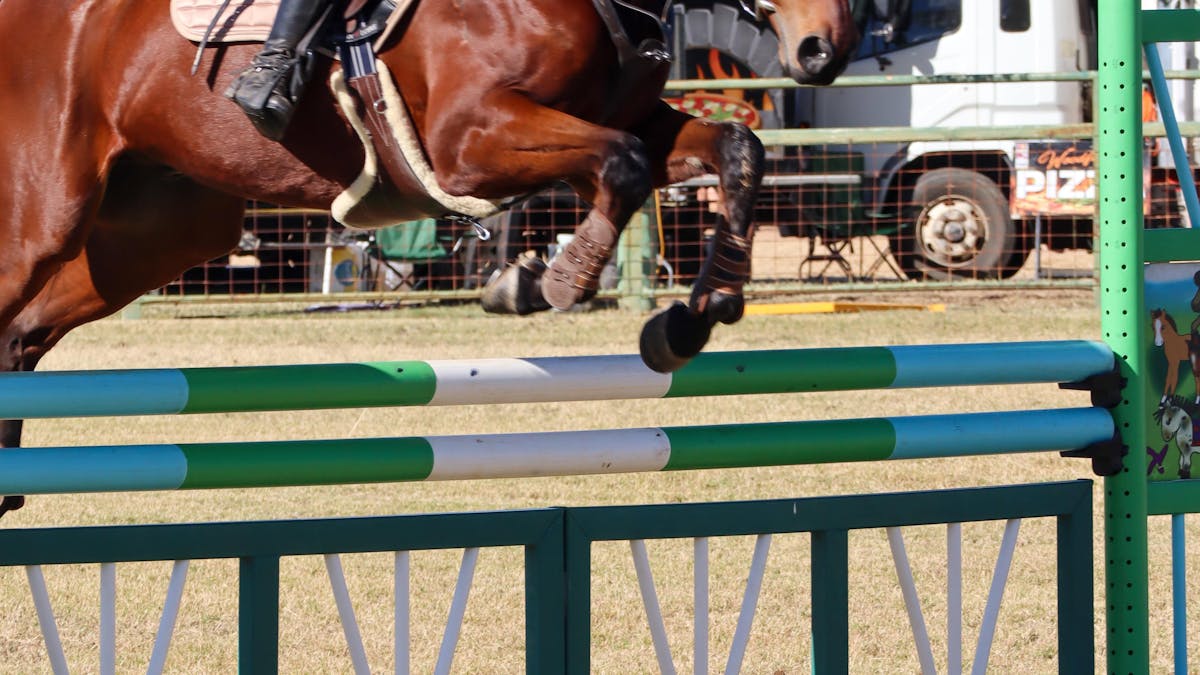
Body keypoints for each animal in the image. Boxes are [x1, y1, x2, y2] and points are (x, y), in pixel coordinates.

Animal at [0, 0, 859, 516]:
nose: (826, 51)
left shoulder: (628, 118)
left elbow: (731, 148)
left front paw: (696, 315)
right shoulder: (469, 141)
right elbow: (623, 165)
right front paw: (547, 280)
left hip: (160, 228)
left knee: (22, 334)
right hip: (47, 213)